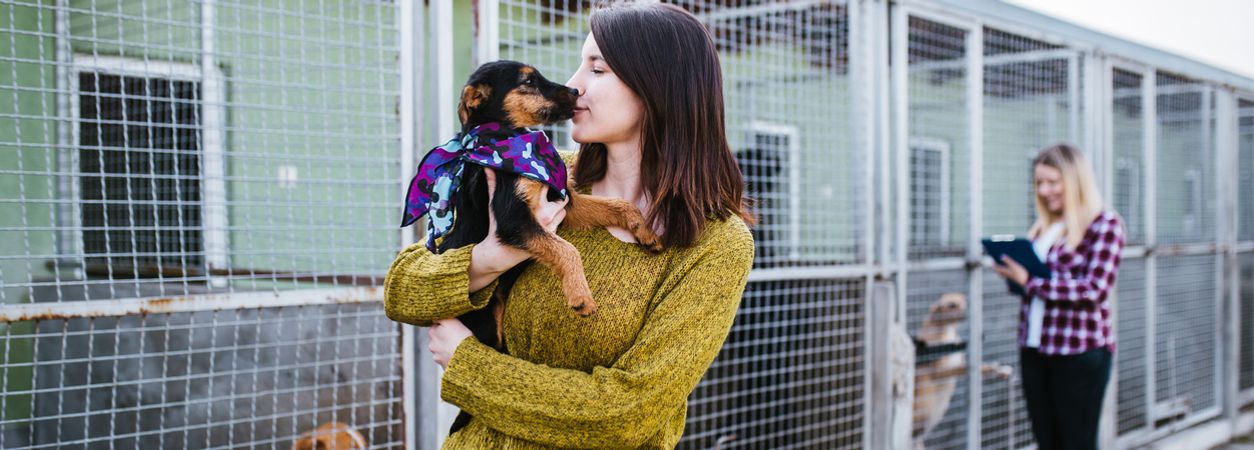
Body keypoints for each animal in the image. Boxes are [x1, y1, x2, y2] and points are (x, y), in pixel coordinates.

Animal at [912, 294, 1018, 448]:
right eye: (952, 305)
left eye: (965, 301)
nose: (968, 311)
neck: (947, 331)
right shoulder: (938, 370)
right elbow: (966, 367)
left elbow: (980, 367)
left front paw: (998, 370)